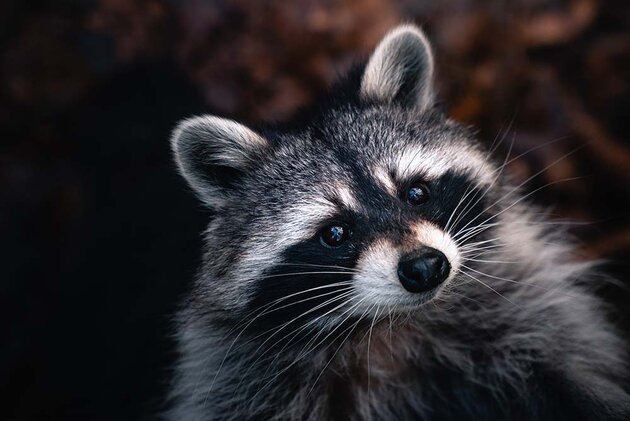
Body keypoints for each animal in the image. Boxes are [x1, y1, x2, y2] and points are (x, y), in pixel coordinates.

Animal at [167, 24, 630, 418]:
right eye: (335, 233)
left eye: (416, 193)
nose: (425, 267)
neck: (390, 323)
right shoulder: (240, 378)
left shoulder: (526, 311)